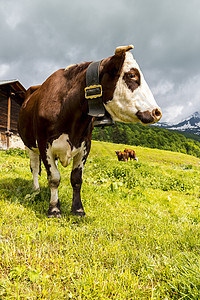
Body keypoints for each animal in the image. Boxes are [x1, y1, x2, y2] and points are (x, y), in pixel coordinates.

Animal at [18, 44, 162, 217]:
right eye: (132, 75)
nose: (157, 112)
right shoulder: (44, 144)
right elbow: (54, 177)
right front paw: (54, 208)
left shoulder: (85, 145)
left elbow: (76, 179)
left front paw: (78, 209)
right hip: (30, 145)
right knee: (34, 167)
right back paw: (36, 189)